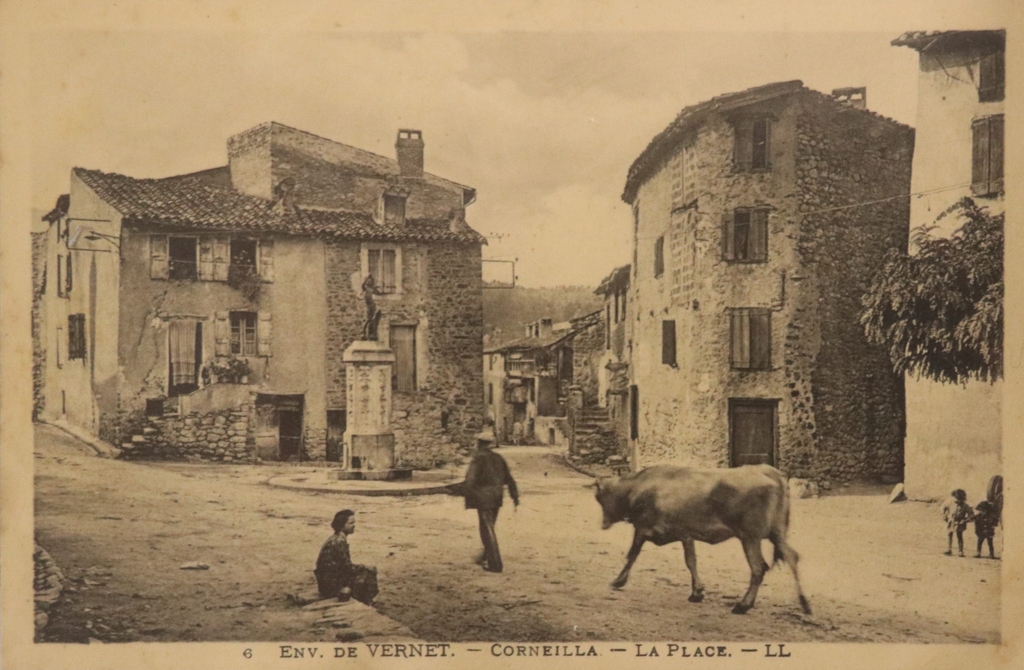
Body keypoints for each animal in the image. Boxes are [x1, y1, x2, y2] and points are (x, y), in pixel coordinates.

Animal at [593, 465, 806, 618]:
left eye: (599, 497)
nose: (603, 524)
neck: (638, 487)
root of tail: (765, 469)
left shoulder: (642, 529)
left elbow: (632, 555)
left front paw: (618, 581)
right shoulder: (686, 534)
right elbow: (691, 561)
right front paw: (697, 592)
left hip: (750, 537)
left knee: (758, 568)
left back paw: (743, 605)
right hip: (776, 534)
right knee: (792, 557)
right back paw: (804, 603)